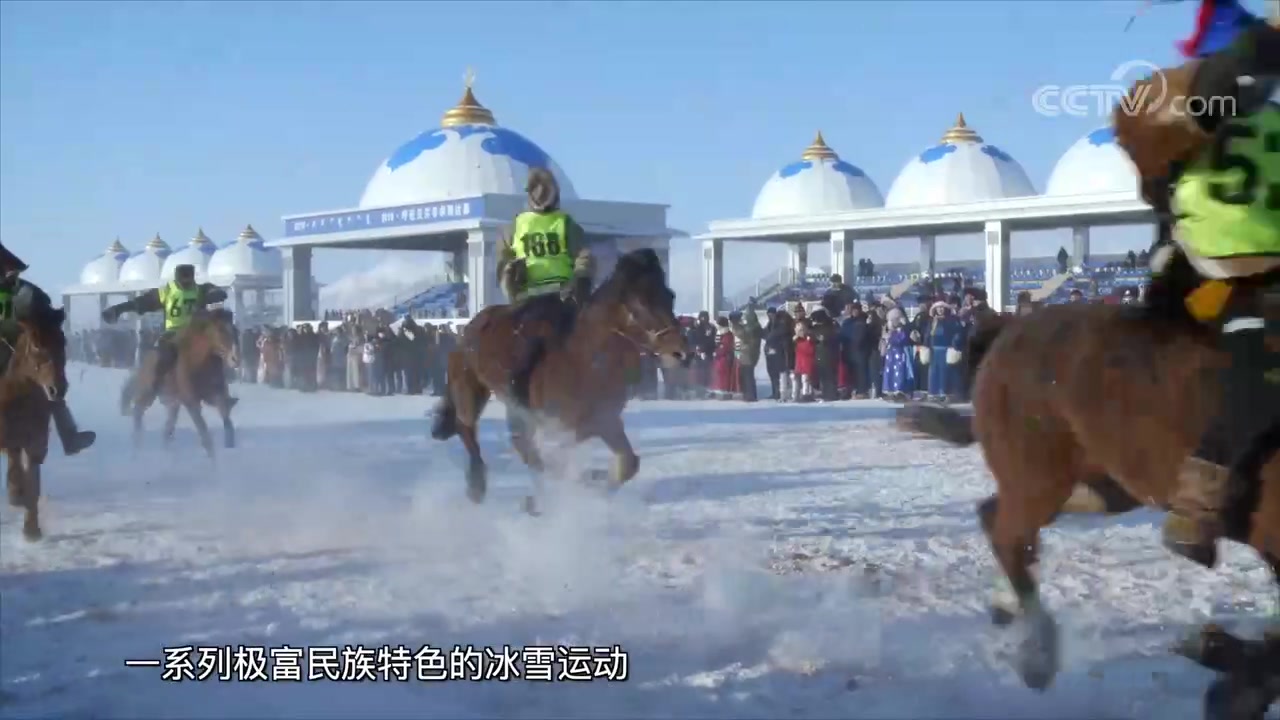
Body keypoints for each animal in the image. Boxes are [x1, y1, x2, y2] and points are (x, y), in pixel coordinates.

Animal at [0, 308, 66, 538]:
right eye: (36, 345)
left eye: (62, 341)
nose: (58, 389)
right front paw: (16, 495)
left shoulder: (36, 439)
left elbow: (33, 481)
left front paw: (31, 529)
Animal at [122, 307, 240, 453]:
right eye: (220, 330)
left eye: (235, 330)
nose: (235, 358)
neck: (199, 363)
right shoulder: (191, 402)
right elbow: (204, 433)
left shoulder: (216, 395)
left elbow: (227, 420)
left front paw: (229, 444)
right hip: (148, 394)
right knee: (138, 412)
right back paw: (138, 444)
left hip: (173, 404)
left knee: (167, 429)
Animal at [430, 248, 691, 509]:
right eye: (640, 303)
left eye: (670, 296)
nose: (681, 354)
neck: (584, 359)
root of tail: (469, 329)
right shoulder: (561, 422)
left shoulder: (606, 420)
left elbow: (628, 463)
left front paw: (594, 482)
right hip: (470, 390)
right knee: (467, 427)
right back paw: (477, 485)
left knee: (521, 443)